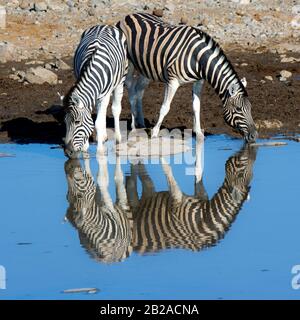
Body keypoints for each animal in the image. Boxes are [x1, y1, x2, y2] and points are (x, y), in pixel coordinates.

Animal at [63, 24, 127, 159]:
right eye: (65, 122)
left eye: (77, 122)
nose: (67, 152)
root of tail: (104, 25)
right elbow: (92, 119)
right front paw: (86, 147)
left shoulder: (105, 95)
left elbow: (97, 122)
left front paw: (100, 151)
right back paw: (102, 136)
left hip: (121, 80)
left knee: (115, 109)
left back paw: (117, 137)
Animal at [117, 12, 258, 141]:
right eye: (238, 109)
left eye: (251, 108)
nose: (254, 136)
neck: (197, 57)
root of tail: (129, 15)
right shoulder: (172, 82)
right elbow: (165, 107)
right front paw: (155, 133)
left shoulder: (199, 81)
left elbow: (196, 106)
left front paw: (199, 133)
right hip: (129, 63)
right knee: (131, 88)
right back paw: (134, 125)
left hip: (146, 68)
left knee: (139, 90)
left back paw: (140, 121)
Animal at [125, 141, 256, 254]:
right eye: (241, 171)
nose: (253, 154)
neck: (205, 219)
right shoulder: (177, 203)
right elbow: (169, 172)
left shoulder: (201, 194)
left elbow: (198, 174)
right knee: (131, 186)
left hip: (147, 197)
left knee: (145, 183)